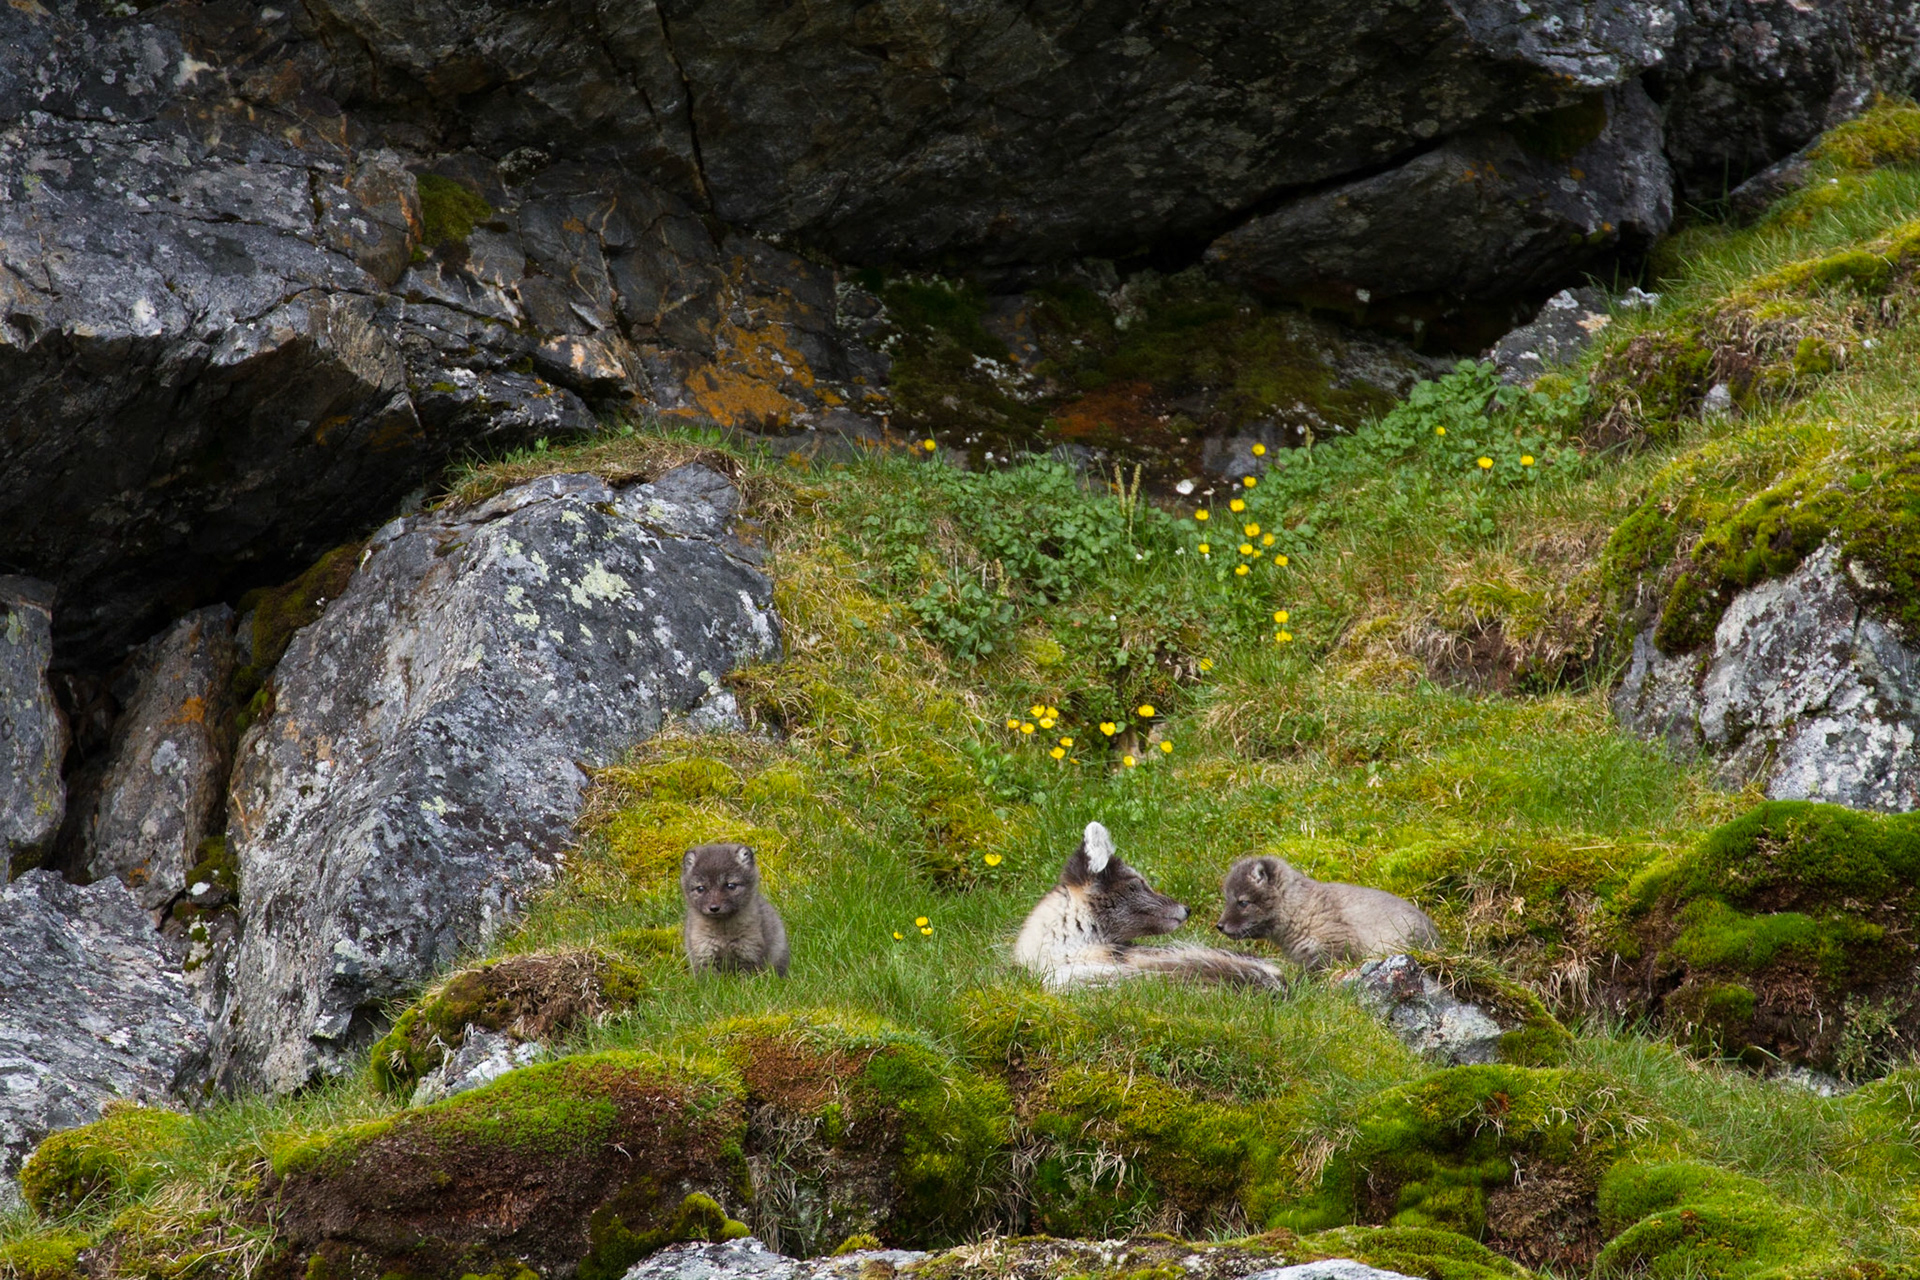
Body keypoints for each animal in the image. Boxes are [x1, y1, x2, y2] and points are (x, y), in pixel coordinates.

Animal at [682, 842, 790, 976]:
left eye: (730, 885)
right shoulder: (704, 955)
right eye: (700, 888)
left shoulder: (749, 954)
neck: (723, 933)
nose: (714, 908)